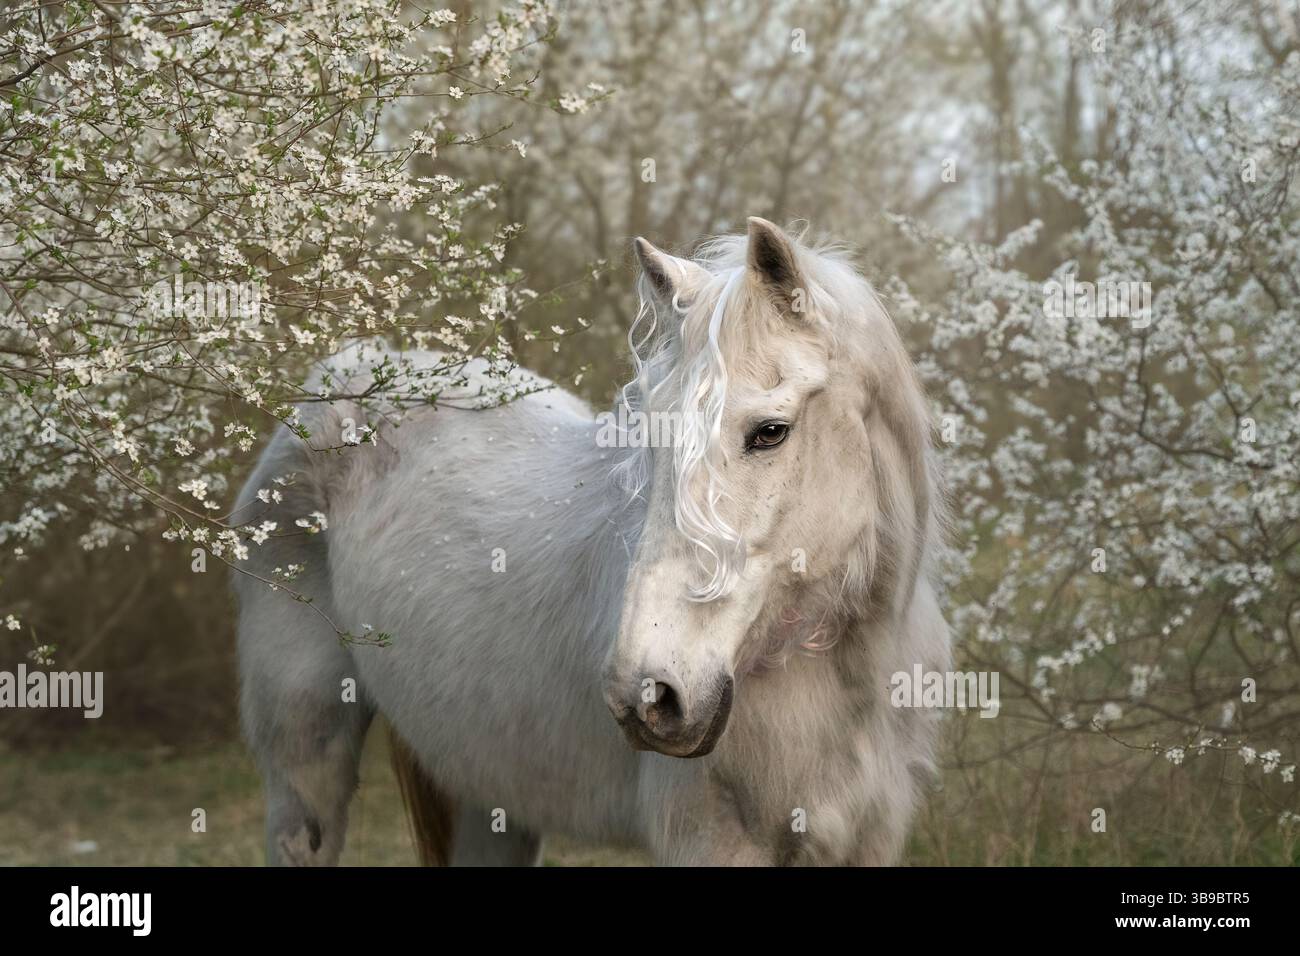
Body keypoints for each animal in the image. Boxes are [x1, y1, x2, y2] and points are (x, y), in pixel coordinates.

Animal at [234, 217, 951, 866]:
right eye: (651, 438)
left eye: (770, 431)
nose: (646, 695)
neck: (842, 677)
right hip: (306, 768)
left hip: (492, 797)